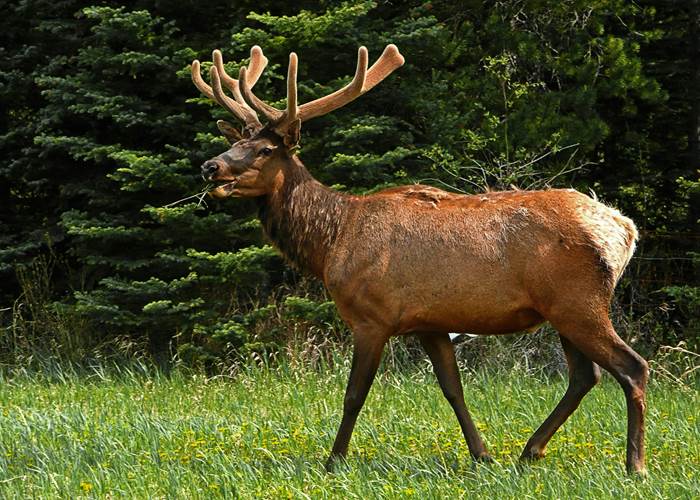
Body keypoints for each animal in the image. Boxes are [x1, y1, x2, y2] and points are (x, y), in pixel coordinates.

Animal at [190, 44, 648, 474]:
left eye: (265, 149)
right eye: (234, 142)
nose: (210, 166)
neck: (331, 241)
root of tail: (624, 230)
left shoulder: (372, 318)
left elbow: (354, 394)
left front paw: (333, 461)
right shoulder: (430, 322)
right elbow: (452, 388)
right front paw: (482, 455)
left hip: (578, 302)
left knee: (632, 366)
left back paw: (634, 465)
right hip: (562, 309)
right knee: (585, 376)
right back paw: (529, 451)